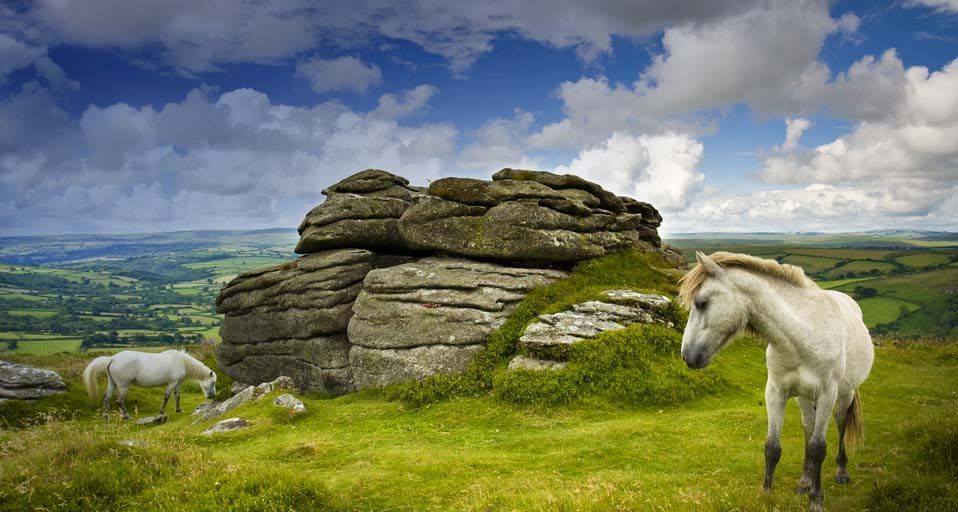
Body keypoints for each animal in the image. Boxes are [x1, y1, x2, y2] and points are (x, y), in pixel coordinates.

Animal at [82, 349, 218, 420]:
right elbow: (166, 397)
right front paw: (161, 412)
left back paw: (105, 416)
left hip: (112, 383)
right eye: (213, 382)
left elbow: (177, 396)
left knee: (106, 398)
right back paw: (126, 416)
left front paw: (178, 409)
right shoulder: (172, 383)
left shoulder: (177, 383)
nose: (212, 396)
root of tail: (112, 359)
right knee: (120, 400)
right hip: (123, 385)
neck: (182, 361)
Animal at [679, 251, 874, 512]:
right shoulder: (775, 392)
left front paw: (816, 500)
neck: (803, 334)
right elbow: (772, 447)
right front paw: (766, 494)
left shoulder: (827, 394)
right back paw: (804, 481)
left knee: (840, 424)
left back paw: (841, 471)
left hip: (844, 395)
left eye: (701, 303)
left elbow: (818, 448)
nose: (687, 356)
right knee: (808, 427)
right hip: (803, 397)